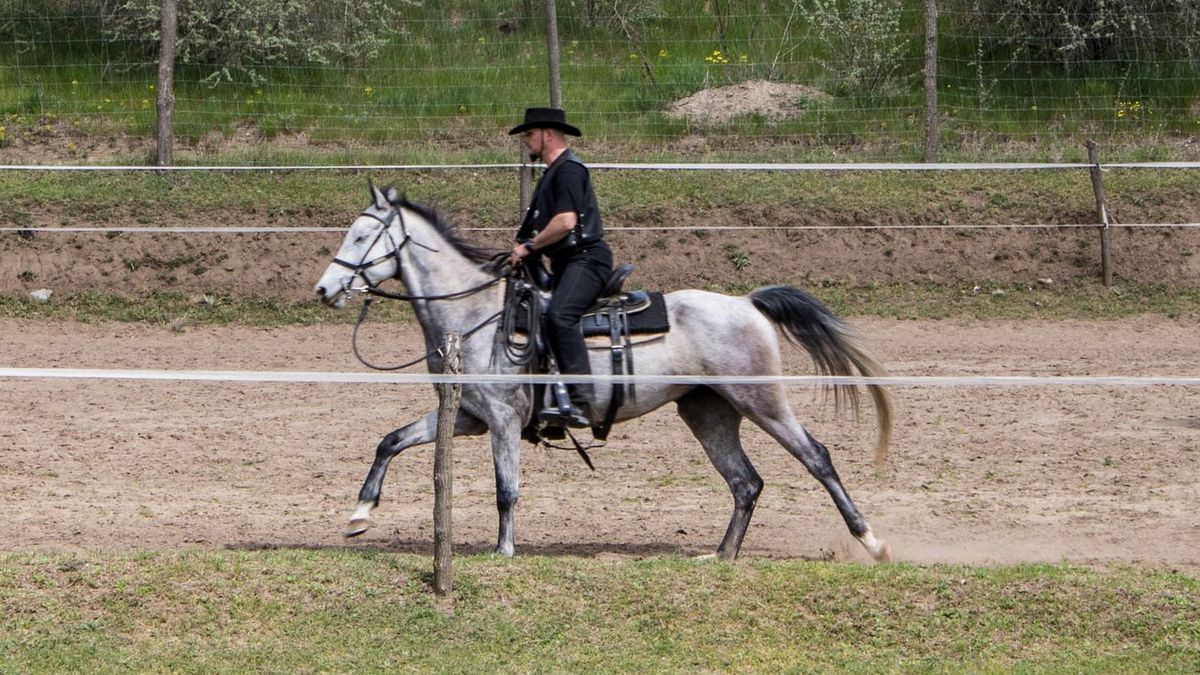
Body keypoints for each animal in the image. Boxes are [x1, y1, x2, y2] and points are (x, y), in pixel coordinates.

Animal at [314, 183, 897, 562]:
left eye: (363, 236)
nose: (325, 289)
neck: (475, 314)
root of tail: (746, 303)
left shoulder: (503, 420)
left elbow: (506, 488)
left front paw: (503, 551)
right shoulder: (467, 418)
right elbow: (391, 441)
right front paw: (360, 514)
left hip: (762, 401)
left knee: (816, 458)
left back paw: (872, 542)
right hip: (707, 411)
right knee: (745, 481)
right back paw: (721, 556)